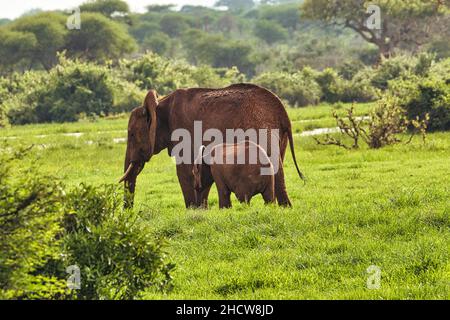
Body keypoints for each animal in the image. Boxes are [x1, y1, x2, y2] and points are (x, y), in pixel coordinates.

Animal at [119, 84, 304, 210]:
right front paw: (201, 210)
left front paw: (193, 211)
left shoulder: (183, 132)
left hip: (261, 129)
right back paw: (285, 209)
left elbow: (184, 171)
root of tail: (284, 114)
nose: (128, 212)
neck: (159, 104)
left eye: (131, 135)